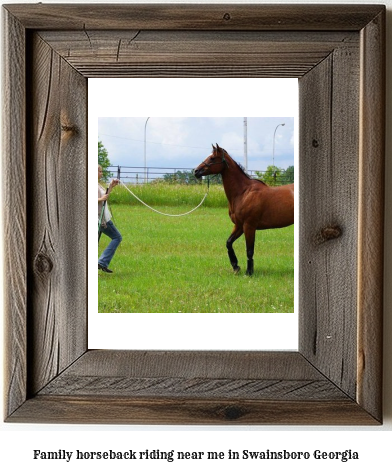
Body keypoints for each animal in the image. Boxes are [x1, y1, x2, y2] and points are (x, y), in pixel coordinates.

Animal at [194, 143, 294, 274]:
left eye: (212, 158)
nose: (196, 171)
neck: (243, 192)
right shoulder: (239, 225)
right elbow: (229, 243)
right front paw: (236, 266)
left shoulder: (249, 226)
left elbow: (249, 250)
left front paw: (249, 272)